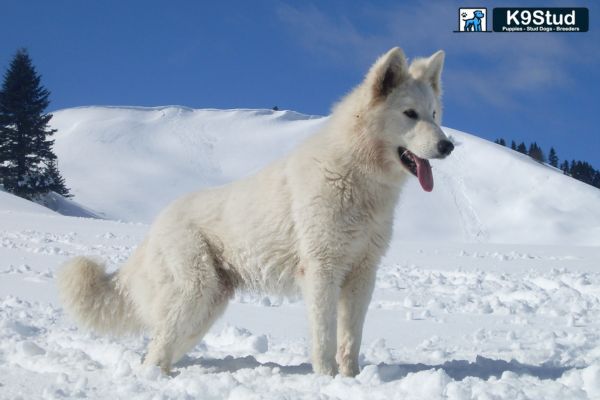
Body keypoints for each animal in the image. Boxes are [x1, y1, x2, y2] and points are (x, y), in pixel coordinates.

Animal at [58, 45, 452, 376]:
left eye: (434, 114)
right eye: (410, 114)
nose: (448, 146)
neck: (355, 175)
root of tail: (156, 224)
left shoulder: (361, 276)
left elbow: (349, 341)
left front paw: (351, 379)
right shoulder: (322, 272)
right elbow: (324, 339)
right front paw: (327, 379)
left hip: (205, 308)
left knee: (161, 349)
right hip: (194, 295)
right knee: (154, 353)